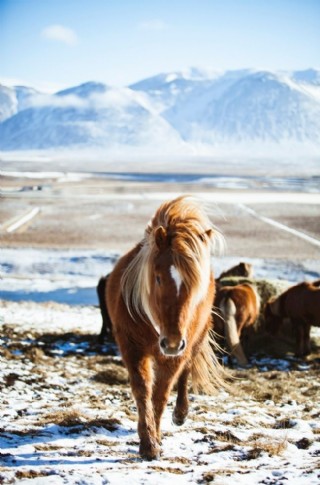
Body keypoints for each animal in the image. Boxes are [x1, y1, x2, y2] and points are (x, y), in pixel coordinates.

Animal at [101, 196, 226, 458]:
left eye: (195, 284)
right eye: (157, 278)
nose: (172, 342)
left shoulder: (174, 356)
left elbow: (161, 394)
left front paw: (154, 439)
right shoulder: (132, 348)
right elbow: (143, 391)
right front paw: (148, 442)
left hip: (193, 342)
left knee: (186, 372)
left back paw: (180, 414)